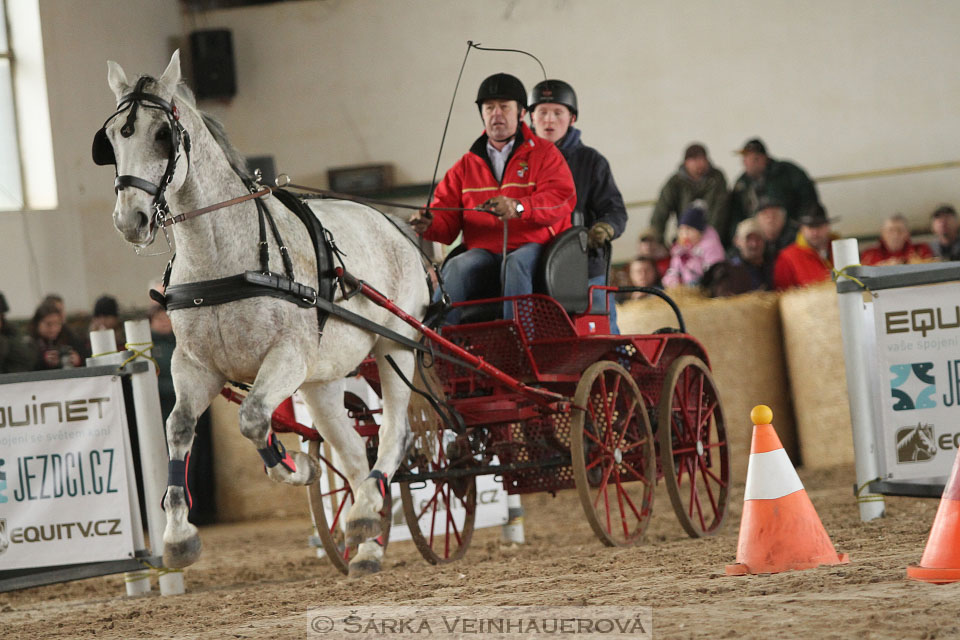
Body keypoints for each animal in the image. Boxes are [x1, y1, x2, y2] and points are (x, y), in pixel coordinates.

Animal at [98, 52, 428, 576]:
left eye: (162, 134)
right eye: (111, 139)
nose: (130, 220)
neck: (222, 260)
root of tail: (396, 225)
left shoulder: (286, 358)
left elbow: (253, 418)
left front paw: (296, 467)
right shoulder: (193, 366)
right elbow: (178, 428)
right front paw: (178, 536)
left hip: (395, 347)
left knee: (394, 434)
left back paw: (364, 514)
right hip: (322, 380)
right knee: (355, 452)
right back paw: (366, 536)